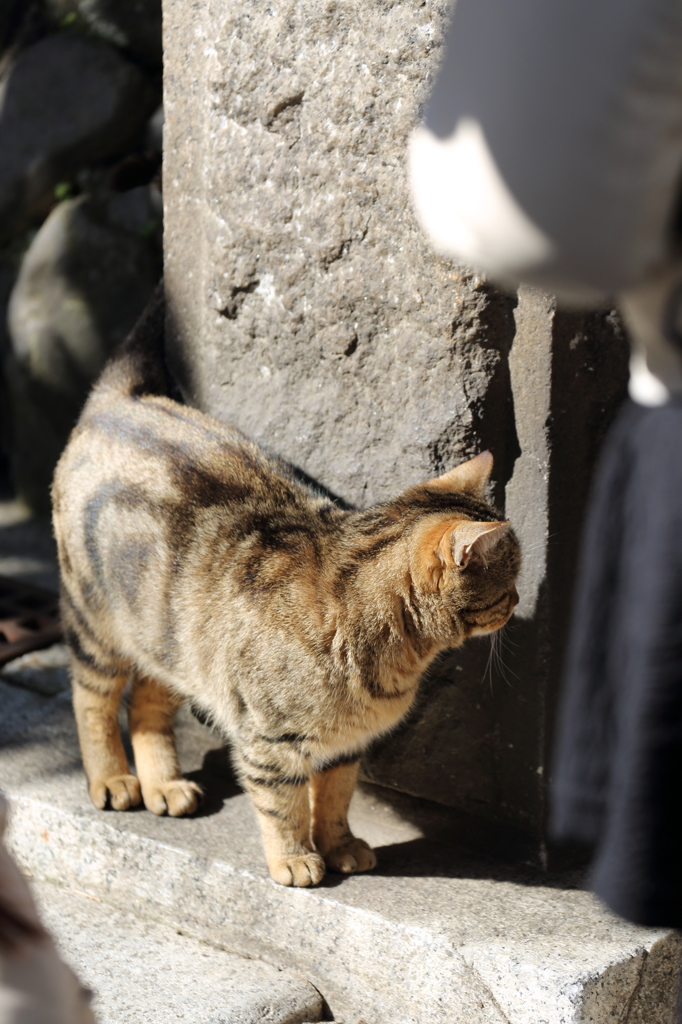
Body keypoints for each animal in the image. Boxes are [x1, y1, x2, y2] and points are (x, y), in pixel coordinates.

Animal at [53, 290, 518, 888]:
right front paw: (296, 858)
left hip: (172, 642)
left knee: (149, 701)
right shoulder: (267, 741)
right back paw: (112, 779)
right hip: (96, 628)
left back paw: (165, 784)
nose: (519, 602)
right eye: (512, 577)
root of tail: (121, 400)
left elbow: (336, 798)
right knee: (93, 700)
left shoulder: (345, 746)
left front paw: (340, 846)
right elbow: (284, 805)